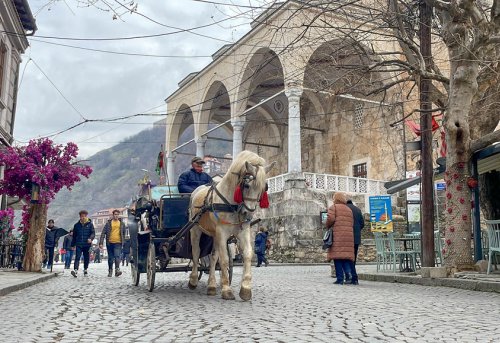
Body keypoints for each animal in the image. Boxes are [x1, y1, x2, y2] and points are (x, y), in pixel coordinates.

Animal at [188, 150, 274, 300]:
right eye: (247, 185)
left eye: (264, 188)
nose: (248, 214)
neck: (231, 204)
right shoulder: (222, 233)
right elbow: (224, 260)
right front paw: (227, 289)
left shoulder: (242, 231)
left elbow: (247, 254)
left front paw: (245, 288)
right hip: (196, 229)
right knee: (196, 252)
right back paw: (193, 280)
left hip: (214, 235)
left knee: (213, 256)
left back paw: (211, 285)